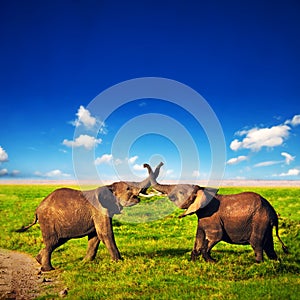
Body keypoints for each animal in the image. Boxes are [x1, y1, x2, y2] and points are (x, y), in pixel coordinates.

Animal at [15, 164, 162, 272]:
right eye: (128, 188)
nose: (144, 164)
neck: (108, 186)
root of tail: (37, 209)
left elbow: (95, 237)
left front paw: (85, 262)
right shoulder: (99, 210)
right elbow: (105, 233)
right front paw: (119, 262)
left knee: (56, 242)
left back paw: (39, 260)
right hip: (48, 221)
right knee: (52, 241)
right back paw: (48, 269)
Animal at [145, 163, 288, 264]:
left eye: (181, 192)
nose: (145, 164)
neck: (202, 191)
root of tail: (273, 213)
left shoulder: (212, 218)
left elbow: (215, 237)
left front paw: (213, 262)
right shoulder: (202, 218)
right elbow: (199, 238)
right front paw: (193, 261)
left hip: (260, 221)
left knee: (257, 244)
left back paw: (258, 263)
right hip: (266, 224)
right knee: (268, 245)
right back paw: (276, 261)